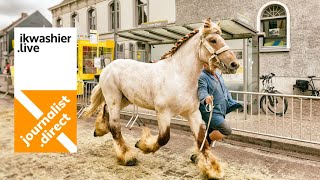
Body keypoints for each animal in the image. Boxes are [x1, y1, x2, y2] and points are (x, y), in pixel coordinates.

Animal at [84, 17, 239, 179]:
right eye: (213, 40)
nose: (234, 64)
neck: (179, 76)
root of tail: (107, 68)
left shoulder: (193, 114)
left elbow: (201, 139)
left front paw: (213, 169)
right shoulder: (163, 112)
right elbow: (164, 138)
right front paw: (143, 145)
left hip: (124, 99)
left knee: (105, 110)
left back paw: (99, 130)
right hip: (114, 98)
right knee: (115, 126)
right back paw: (127, 157)